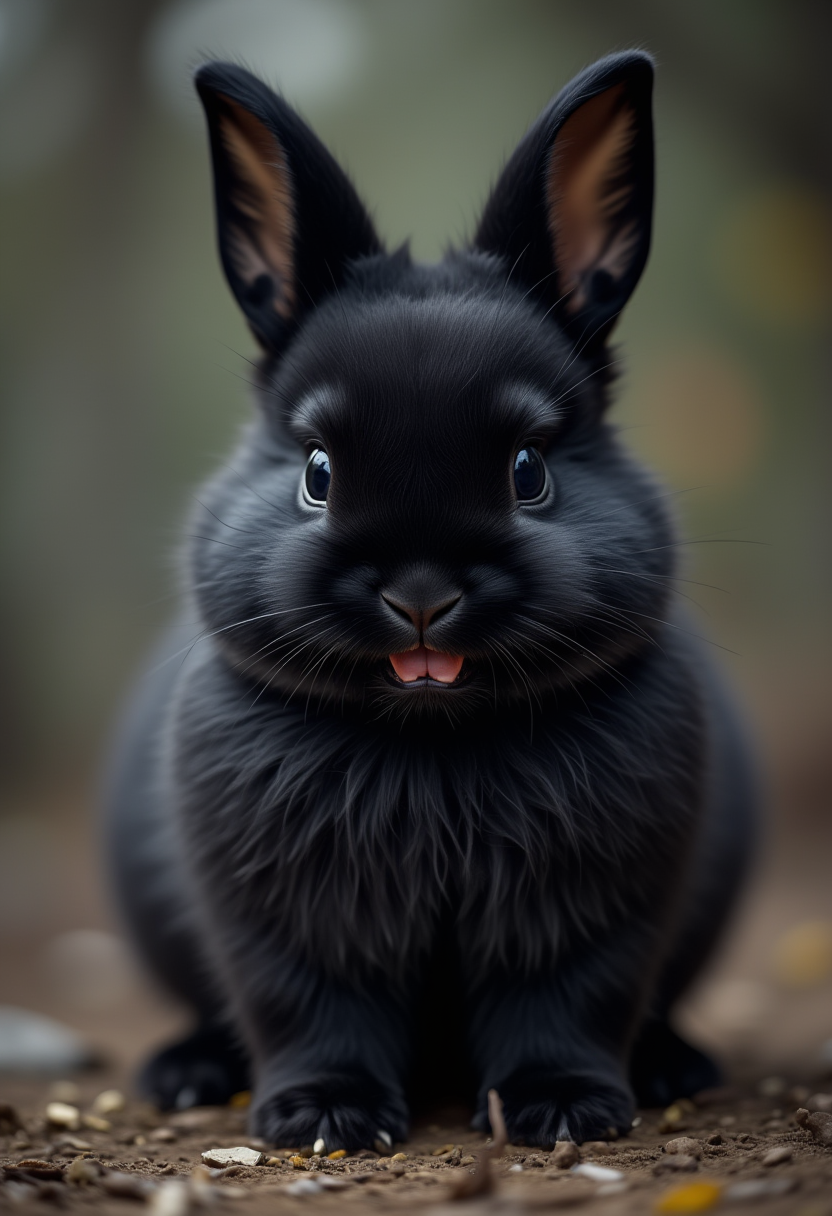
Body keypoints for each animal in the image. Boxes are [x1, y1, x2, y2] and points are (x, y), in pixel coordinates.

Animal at [104, 51, 758, 1148]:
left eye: (529, 471)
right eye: (317, 472)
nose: (420, 596)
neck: (431, 742)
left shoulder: (587, 915)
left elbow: (564, 1002)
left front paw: (564, 1111)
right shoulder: (291, 924)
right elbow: (312, 1007)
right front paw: (322, 1117)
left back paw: (675, 1065)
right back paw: (187, 1072)